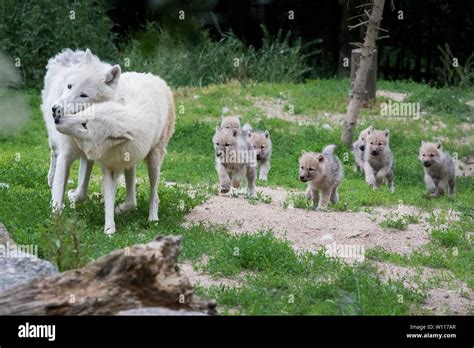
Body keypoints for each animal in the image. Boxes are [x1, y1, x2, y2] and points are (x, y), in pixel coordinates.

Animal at [41, 48, 122, 209]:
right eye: (69, 86)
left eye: (84, 95)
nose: (55, 109)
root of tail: (71, 52)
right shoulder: (66, 154)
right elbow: (59, 192)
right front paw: (56, 211)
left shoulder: (88, 155)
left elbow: (83, 191)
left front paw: (73, 196)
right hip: (53, 141)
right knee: (53, 155)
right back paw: (51, 179)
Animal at [54, 71, 176, 234]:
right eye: (84, 113)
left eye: (85, 125)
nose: (57, 117)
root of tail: (152, 76)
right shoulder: (108, 168)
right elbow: (110, 199)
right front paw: (109, 228)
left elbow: (130, 199)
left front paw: (114, 219)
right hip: (129, 164)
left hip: (153, 160)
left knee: (152, 192)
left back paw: (152, 218)